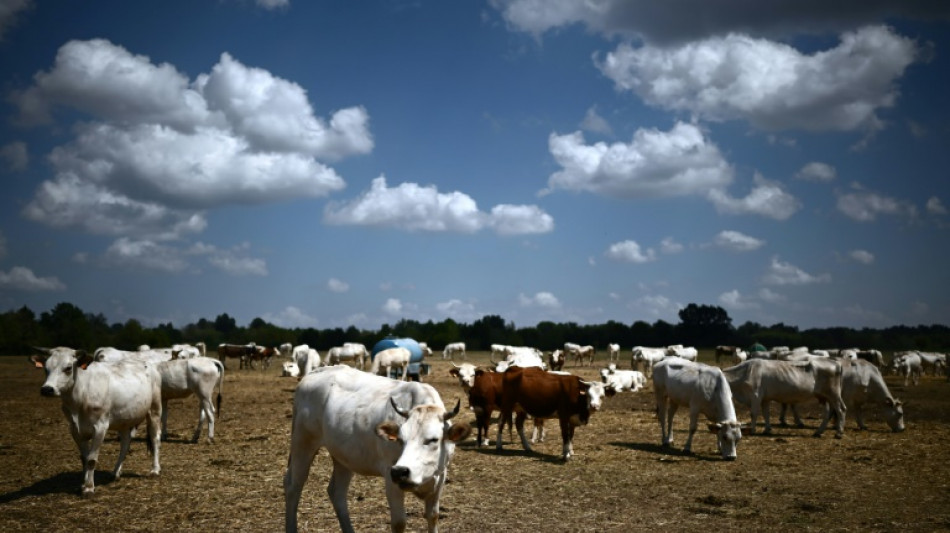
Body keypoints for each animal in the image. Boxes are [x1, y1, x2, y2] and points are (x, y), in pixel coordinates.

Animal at [30, 344, 162, 494]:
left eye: (68, 368)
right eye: (46, 368)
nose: (47, 389)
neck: (80, 397)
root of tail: (146, 363)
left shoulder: (100, 427)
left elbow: (91, 460)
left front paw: (88, 487)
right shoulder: (75, 429)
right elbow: (84, 458)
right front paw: (83, 483)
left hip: (154, 409)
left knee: (155, 438)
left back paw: (155, 470)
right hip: (124, 419)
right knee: (125, 443)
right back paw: (116, 472)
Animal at [284, 366, 474, 532]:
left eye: (433, 439)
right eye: (400, 439)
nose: (401, 471)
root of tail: (315, 372)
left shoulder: (440, 476)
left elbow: (433, 516)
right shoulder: (391, 478)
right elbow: (399, 523)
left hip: (343, 456)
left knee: (337, 492)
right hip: (303, 442)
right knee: (293, 486)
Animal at [724, 358, 852, 436]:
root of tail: (836, 362)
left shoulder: (755, 395)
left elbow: (754, 413)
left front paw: (752, 430)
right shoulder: (765, 398)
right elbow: (766, 413)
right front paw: (767, 429)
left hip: (834, 394)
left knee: (841, 409)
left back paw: (839, 433)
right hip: (826, 397)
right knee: (829, 412)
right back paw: (818, 432)